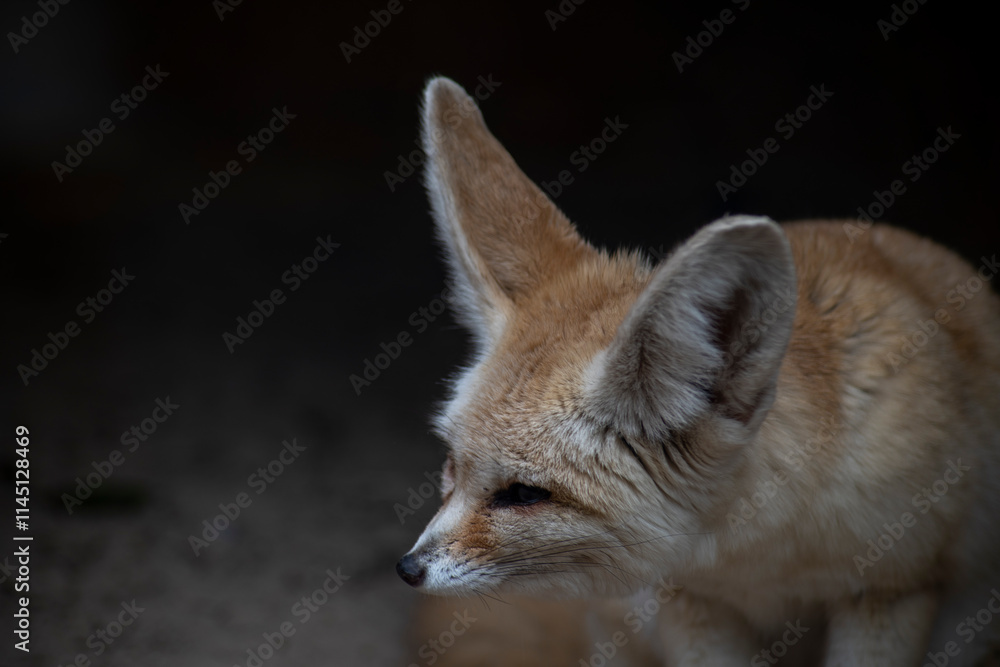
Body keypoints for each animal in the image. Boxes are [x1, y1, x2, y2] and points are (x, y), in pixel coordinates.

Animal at [397, 76, 1000, 666]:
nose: (408, 569)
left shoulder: (893, 592)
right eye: (452, 465)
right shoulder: (691, 605)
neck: (763, 559)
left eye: (524, 494)